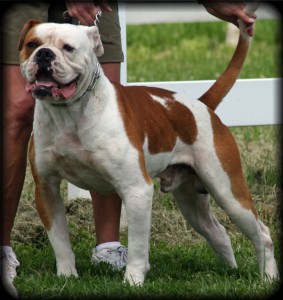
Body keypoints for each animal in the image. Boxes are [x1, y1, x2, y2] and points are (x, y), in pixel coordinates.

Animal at [18, 5, 280, 286]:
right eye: (32, 44)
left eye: (68, 48)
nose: (44, 54)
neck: (70, 113)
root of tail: (202, 105)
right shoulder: (47, 189)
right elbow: (59, 240)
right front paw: (67, 275)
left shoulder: (137, 190)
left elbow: (138, 243)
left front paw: (133, 280)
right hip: (191, 200)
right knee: (218, 232)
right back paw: (230, 271)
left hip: (228, 190)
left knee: (262, 233)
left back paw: (268, 276)